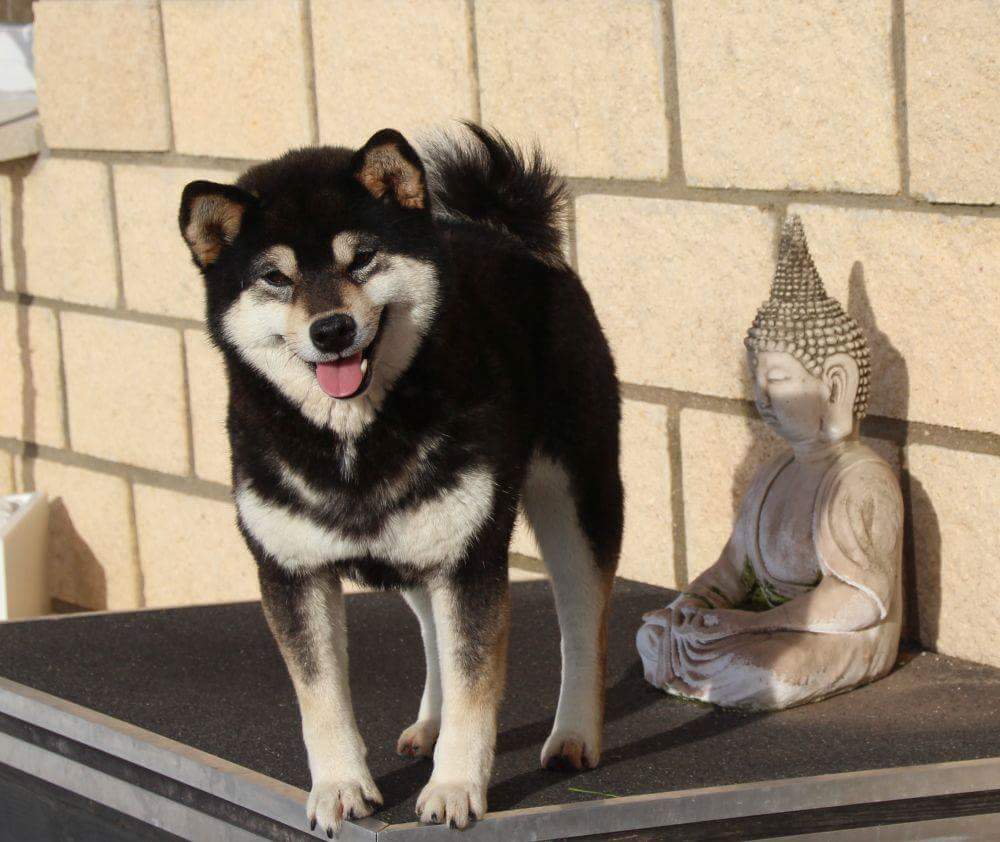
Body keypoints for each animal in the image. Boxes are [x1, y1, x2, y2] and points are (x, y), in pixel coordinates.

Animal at [178, 124, 623, 834]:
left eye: (361, 258)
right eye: (275, 276)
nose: (332, 329)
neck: (354, 441)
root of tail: (503, 230)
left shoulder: (469, 560)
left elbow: (476, 686)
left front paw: (455, 787)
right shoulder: (293, 571)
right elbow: (321, 699)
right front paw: (339, 786)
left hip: (575, 499)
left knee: (582, 628)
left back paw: (574, 734)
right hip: (416, 544)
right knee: (430, 628)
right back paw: (431, 722)